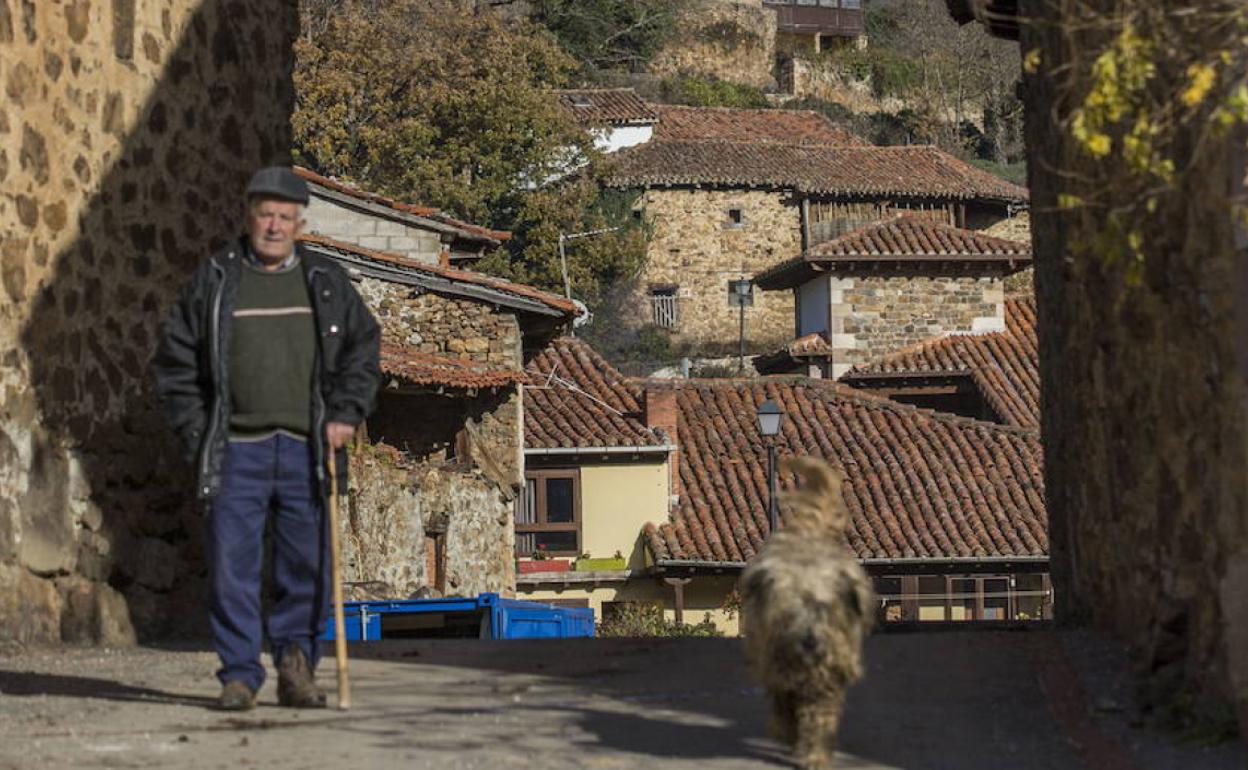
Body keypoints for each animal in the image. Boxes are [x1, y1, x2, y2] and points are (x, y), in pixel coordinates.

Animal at [738, 456, 878, 768]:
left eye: (823, 607)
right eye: (790, 610)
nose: (810, 642)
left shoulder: (830, 670)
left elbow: (820, 714)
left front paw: (815, 753)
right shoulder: (777, 666)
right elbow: (784, 703)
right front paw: (789, 734)